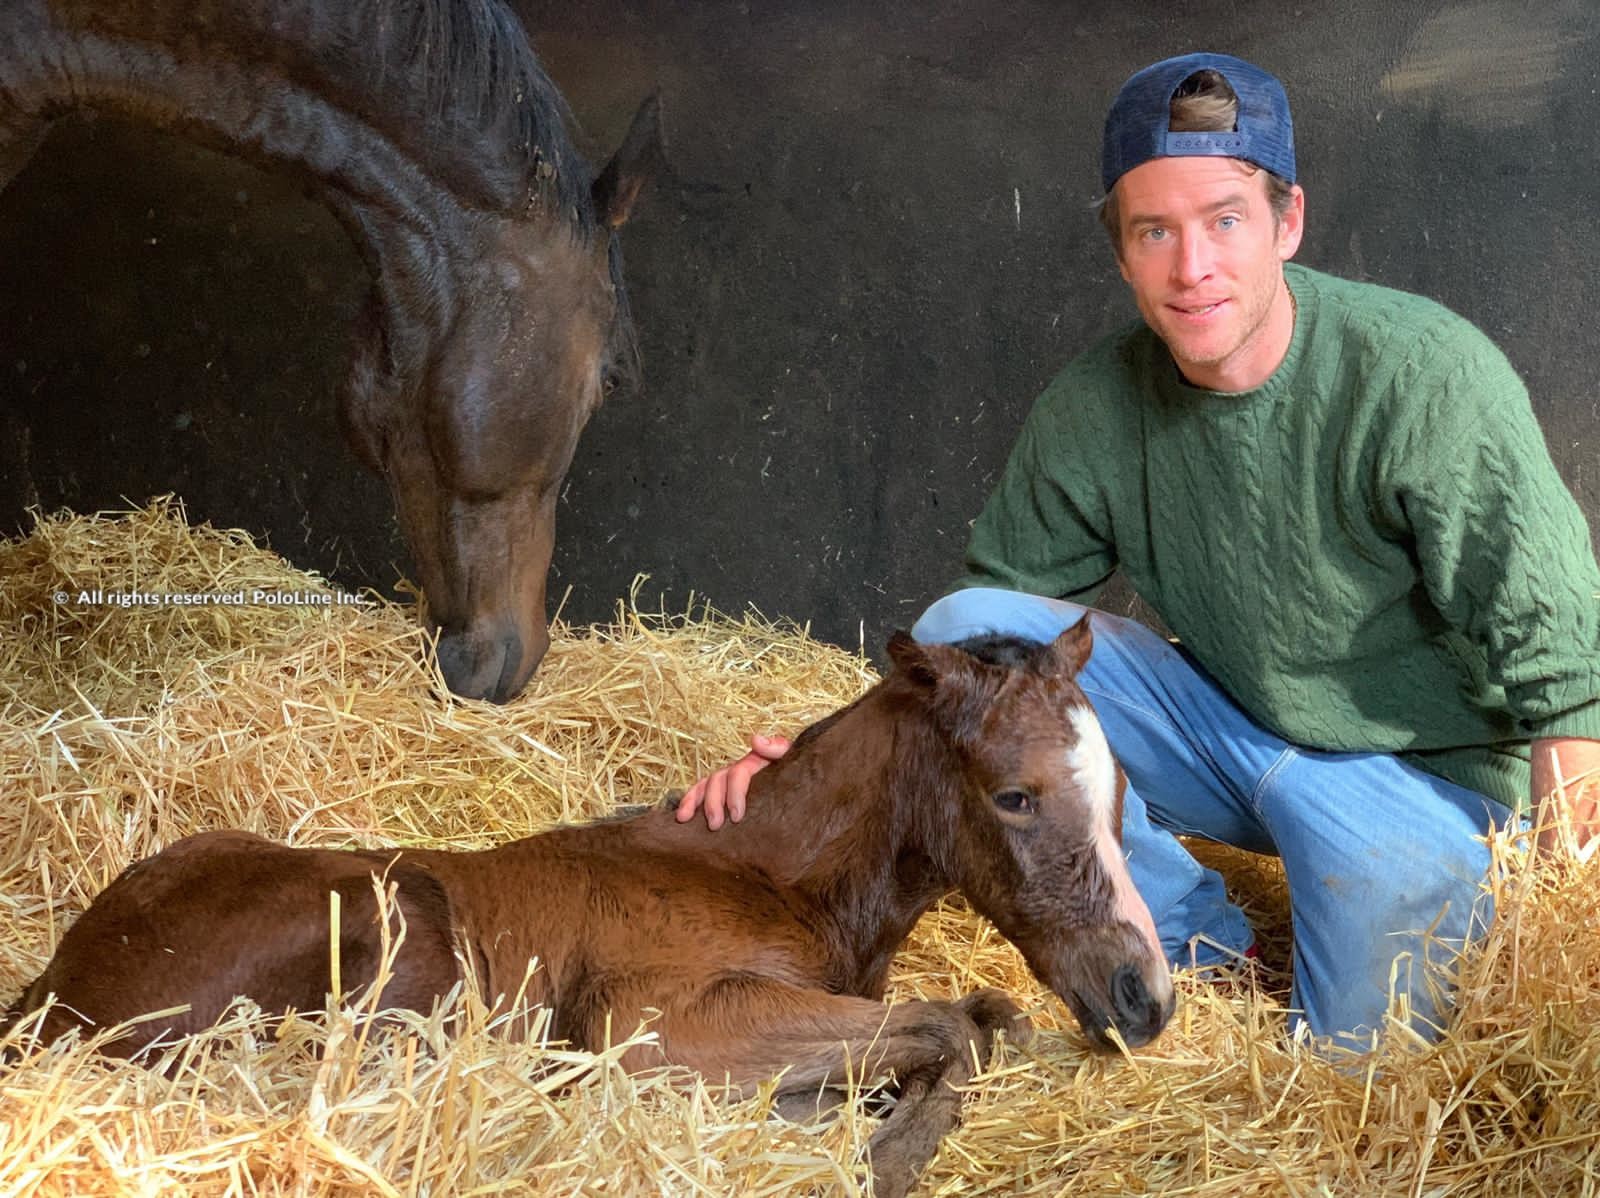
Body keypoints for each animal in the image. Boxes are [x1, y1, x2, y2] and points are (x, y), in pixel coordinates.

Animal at [0, 620, 1177, 1190]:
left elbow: (982, 1018)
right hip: (396, 919)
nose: (1145, 994)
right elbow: (950, 1030)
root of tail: (49, 995)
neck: (771, 876)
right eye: (1015, 795)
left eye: (1122, 791)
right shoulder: (652, 1027)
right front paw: (872, 1152)